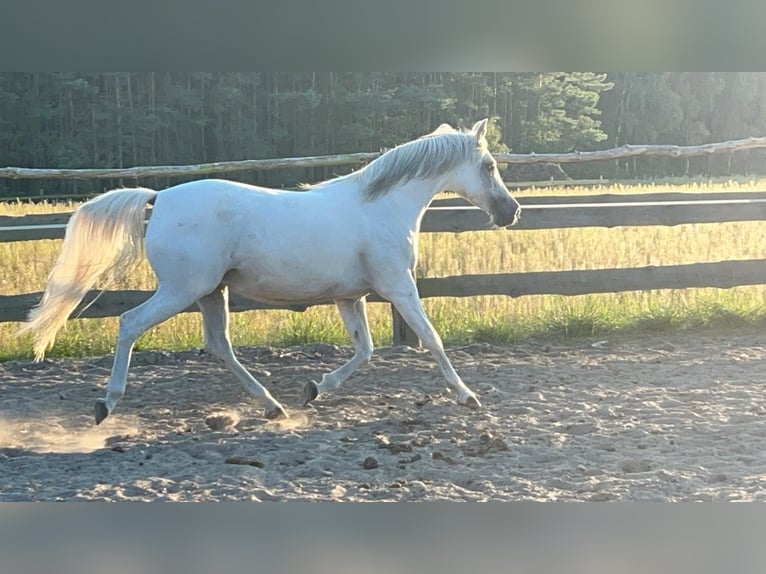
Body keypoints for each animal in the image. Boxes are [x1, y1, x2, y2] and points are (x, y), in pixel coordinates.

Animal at [21, 119, 520, 426]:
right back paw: (106, 404)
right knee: (130, 323)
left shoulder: (350, 296)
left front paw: (314, 388)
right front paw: (466, 395)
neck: (382, 207)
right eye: (489, 166)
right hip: (183, 289)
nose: (511, 212)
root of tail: (159, 198)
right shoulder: (399, 287)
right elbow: (431, 339)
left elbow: (365, 350)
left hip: (210, 292)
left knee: (218, 345)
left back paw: (273, 405)